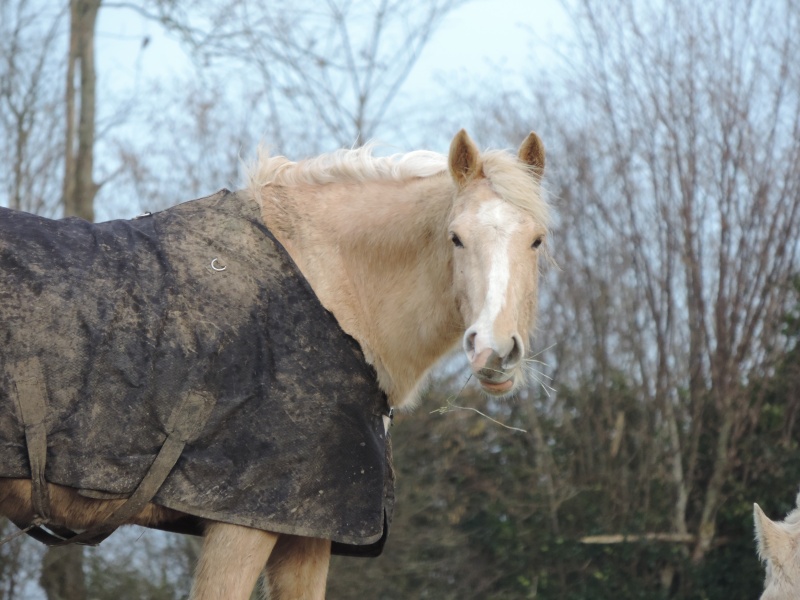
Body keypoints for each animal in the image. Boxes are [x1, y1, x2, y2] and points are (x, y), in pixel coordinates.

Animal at [0, 129, 552, 596]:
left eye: (537, 240)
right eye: (456, 237)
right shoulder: (244, 524)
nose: (495, 350)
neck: (334, 287)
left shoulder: (309, 529)